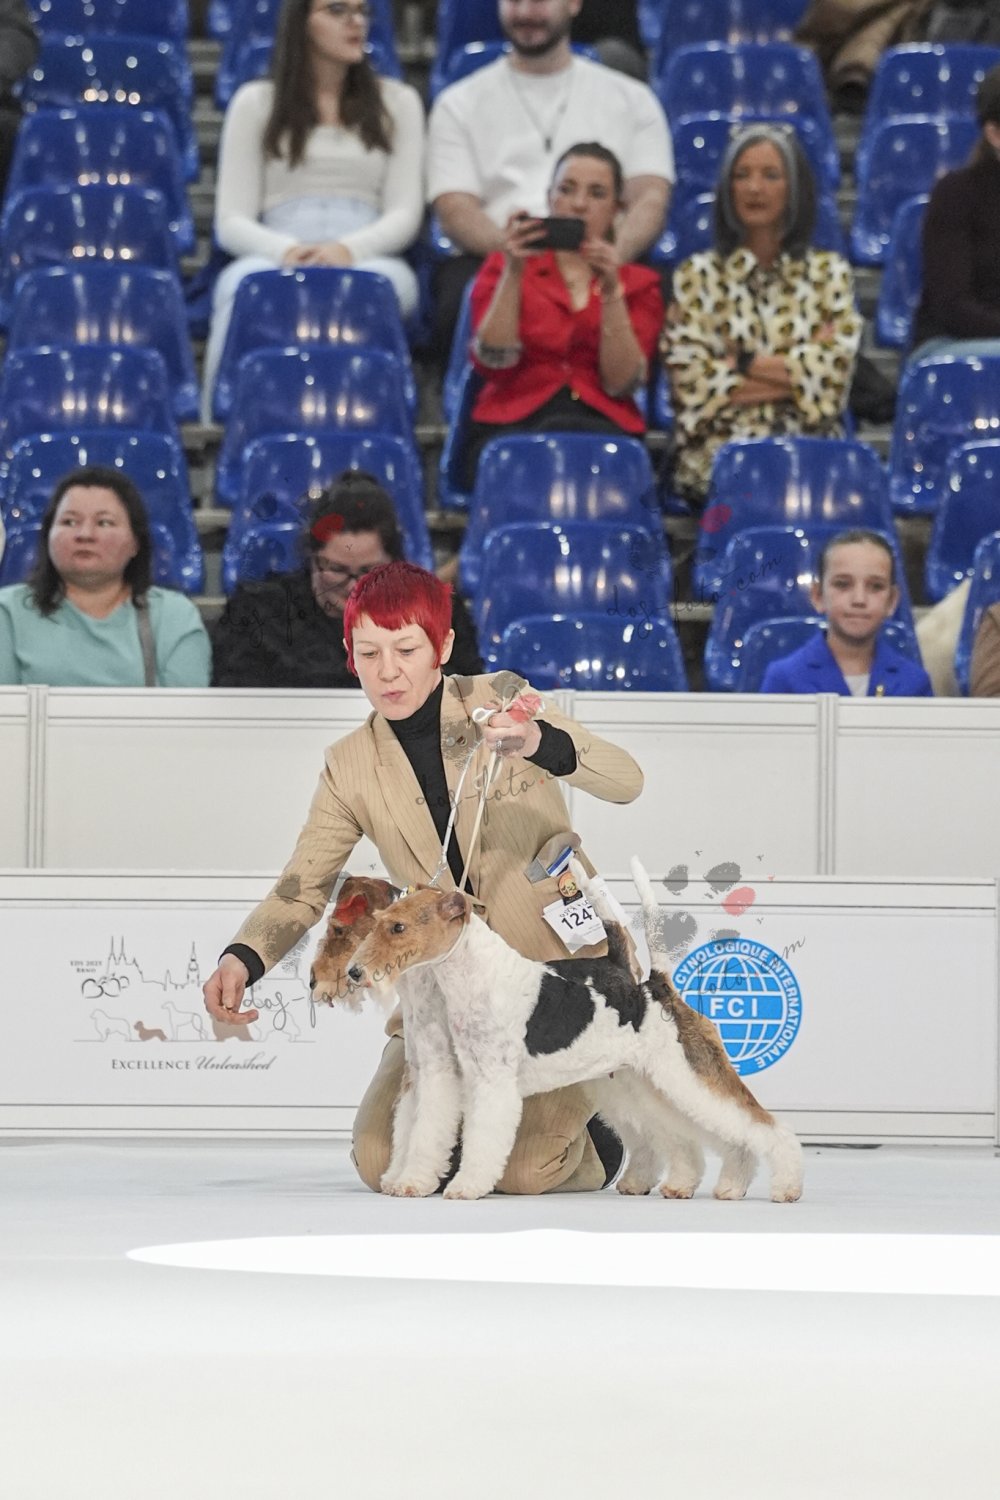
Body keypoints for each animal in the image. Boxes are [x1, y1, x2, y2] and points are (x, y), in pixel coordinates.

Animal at [345, 861, 803, 1203]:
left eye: (399, 927)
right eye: (378, 920)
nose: (354, 972)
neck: (474, 977)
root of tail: (654, 985)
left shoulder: (490, 1083)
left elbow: (477, 1140)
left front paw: (463, 1187)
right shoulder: (443, 1076)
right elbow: (422, 1131)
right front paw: (408, 1181)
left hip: (689, 1075)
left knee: (758, 1126)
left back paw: (785, 1187)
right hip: (639, 1084)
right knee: (688, 1137)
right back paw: (707, 1185)